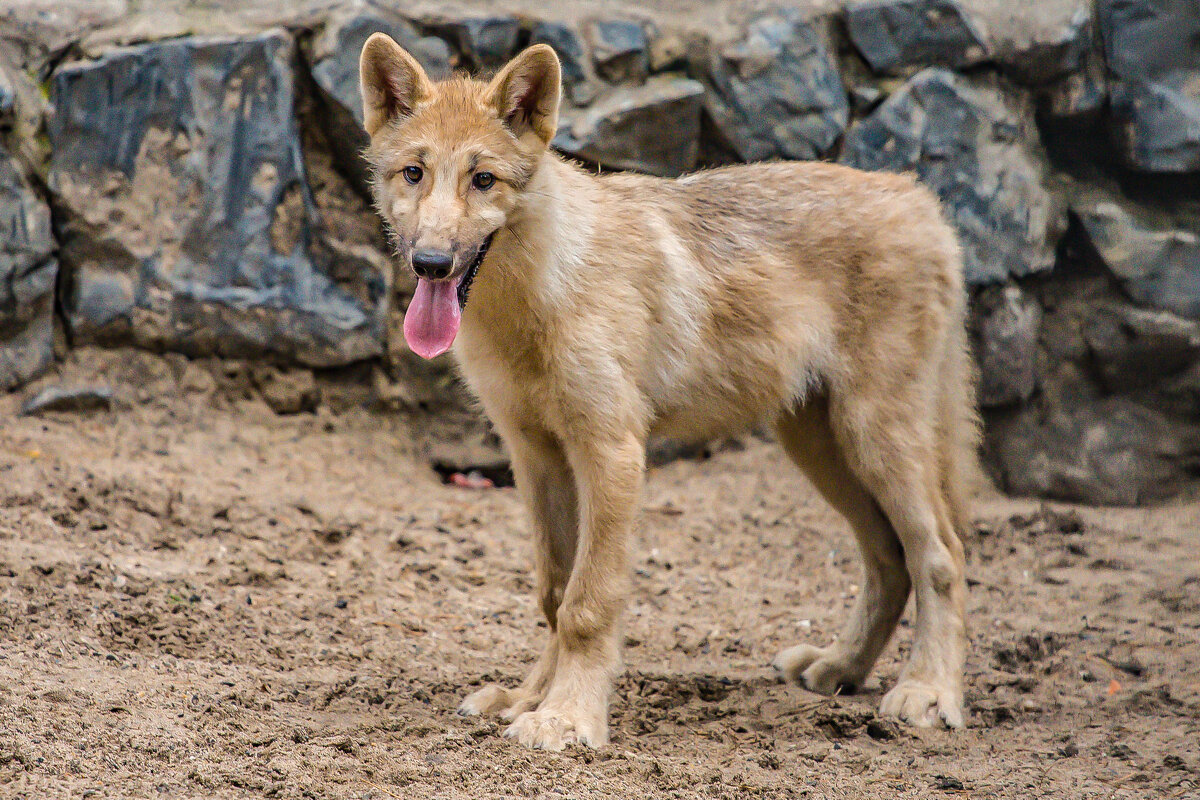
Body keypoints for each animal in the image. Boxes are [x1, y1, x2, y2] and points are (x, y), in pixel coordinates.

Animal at [360, 35, 979, 753]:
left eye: (482, 180)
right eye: (414, 174)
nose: (429, 262)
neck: (543, 292)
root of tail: (920, 199)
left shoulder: (612, 453)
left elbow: (587, 603)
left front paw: (567, 719)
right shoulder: (536, 456)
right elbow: (554, 595)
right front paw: (527, 700)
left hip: (875, 439)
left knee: (940, 555)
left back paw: (929, 693)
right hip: (820, 448)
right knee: (888, 560)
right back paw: (840, 669)